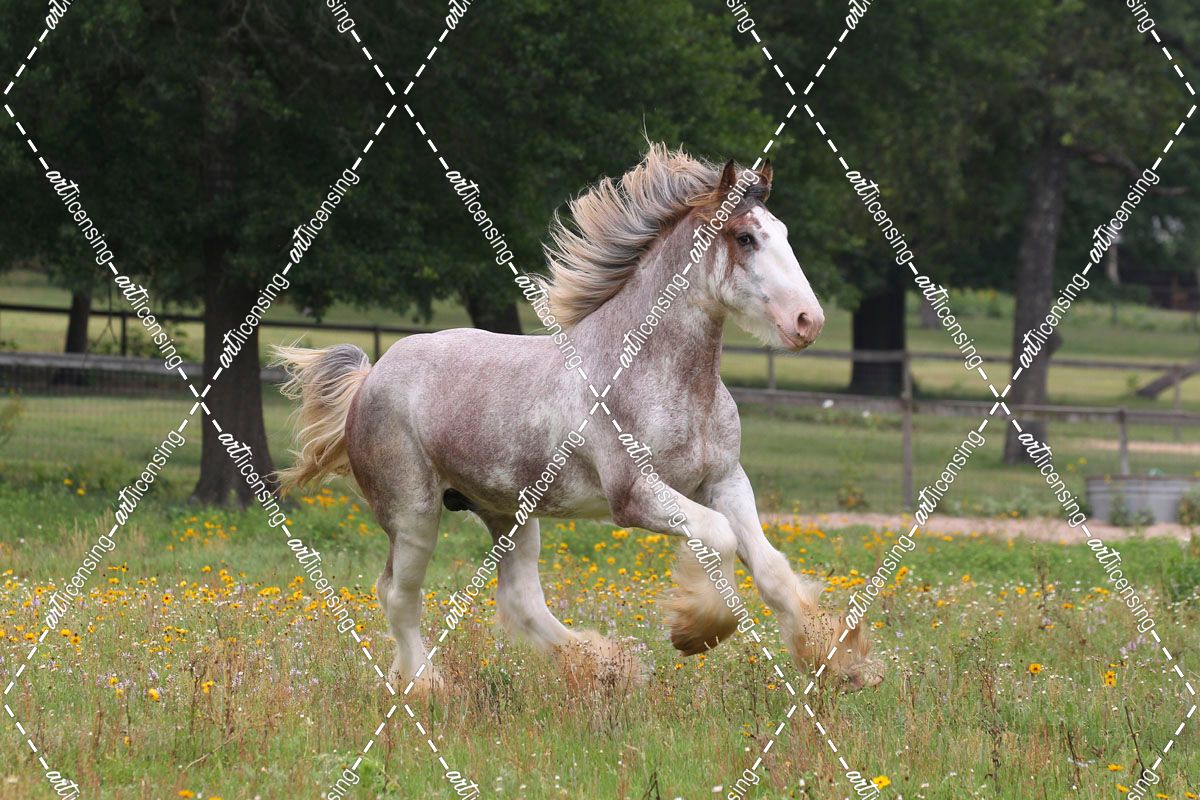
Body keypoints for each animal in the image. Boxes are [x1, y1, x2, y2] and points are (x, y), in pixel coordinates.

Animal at [272, 144, 884, 695]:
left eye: (782, 230)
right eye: (745, 237)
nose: (807, 321)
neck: (657, 375)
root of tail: (369, 377)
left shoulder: (725, 480)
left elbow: (772, 567)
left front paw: (841, 663)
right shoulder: (635, 494)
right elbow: (717, 536)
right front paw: (695, 631)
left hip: (507, 513)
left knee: (518, 599)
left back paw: (607, 669)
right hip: (413, 512)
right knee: (398, 594)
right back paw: (426, 688)